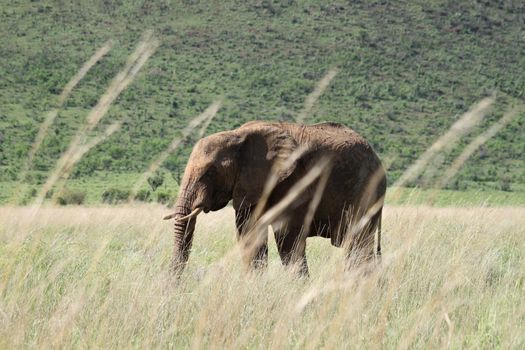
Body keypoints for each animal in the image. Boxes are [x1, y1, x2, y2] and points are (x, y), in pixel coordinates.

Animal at [164, 120, 384, 276]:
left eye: (210, 172)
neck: (237, 135)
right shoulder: (250, 185)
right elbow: (249, 235)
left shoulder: (293, 181)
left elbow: (287, 237)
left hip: (367, 191)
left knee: (357, 245)